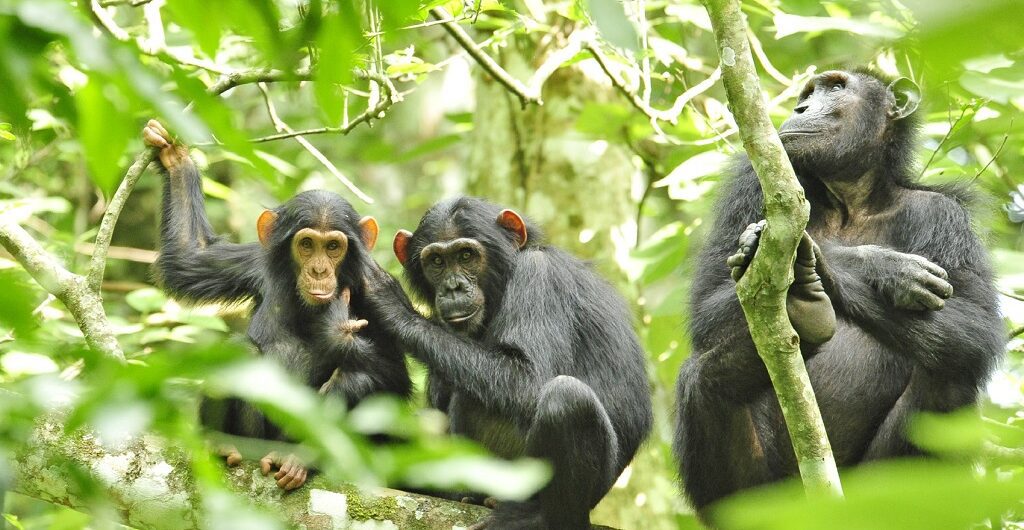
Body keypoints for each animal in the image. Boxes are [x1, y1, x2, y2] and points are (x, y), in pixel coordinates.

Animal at [141, 119, 411, 491]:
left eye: (333, 247)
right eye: (307, 244)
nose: (318, 271)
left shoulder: (382, 293)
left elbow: (395, 381)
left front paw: (336, 330)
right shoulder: (254, 263)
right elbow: (190, 256)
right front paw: (175, 158)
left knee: (357, 378)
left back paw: (300, 459)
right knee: (238, 350)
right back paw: (221, 444)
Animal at [362, 199, 647, 530]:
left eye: (466, 255)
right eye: (436, 261)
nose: (453, 287)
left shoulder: (539, 277)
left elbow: (528, 378)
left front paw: (394, 306)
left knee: (566, 399)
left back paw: (533, 515)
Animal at [675, 68, 1003, 517]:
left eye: (835, 87)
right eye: (808, 92)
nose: (801, 107)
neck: (851, 198)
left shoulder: (944, 216)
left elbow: (977, 323)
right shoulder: (749, 182)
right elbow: (707, 304)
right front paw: (878, 266)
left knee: (952, 373)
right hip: (761, 495)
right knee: (704, 381)